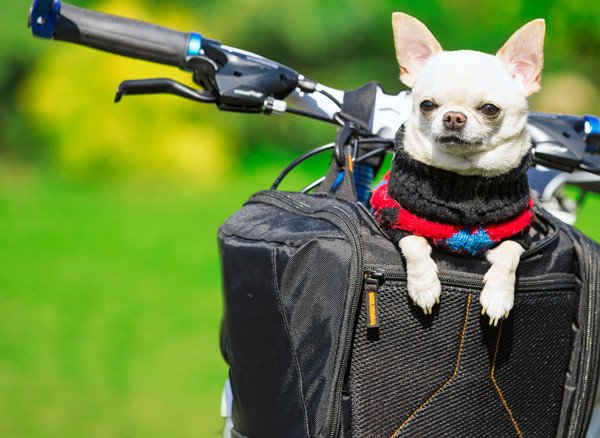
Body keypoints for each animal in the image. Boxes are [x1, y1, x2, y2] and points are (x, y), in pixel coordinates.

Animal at [370, 13, 544, 326]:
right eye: (427, 105)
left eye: (489, 109)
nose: (453, 116)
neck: (465, 176)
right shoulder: (396, 219)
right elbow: (415, 244)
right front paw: (424, 286)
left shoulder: (518, 234)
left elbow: (509, 257)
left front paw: (498, 296)